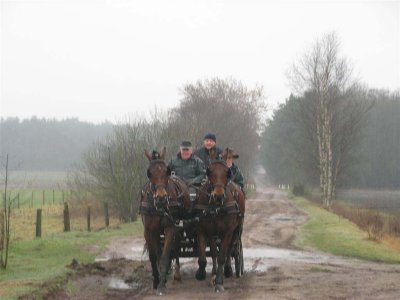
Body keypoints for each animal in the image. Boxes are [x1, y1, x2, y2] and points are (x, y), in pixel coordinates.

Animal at [140, 148, 191, 296]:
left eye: (166, 171)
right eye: (149, 173)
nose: (161, 198)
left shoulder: (170, 228)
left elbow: (164, 256)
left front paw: (162, 285)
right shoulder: (149, 231)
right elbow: (154, 256)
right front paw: (156, 281)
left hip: (178, 227)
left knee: (176, 248)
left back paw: (177, 275)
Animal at [193, 151, 245, 292]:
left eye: (227, 173)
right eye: (210, 172)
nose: (218, 195)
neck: (215, 207)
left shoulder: (228, 231)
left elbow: (222, 255)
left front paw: (219, 282)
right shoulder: (205, 230)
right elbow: (207, 256)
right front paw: (202, 273)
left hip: (236, 229)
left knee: (230, 249)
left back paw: (228, 270)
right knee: (214, 252)